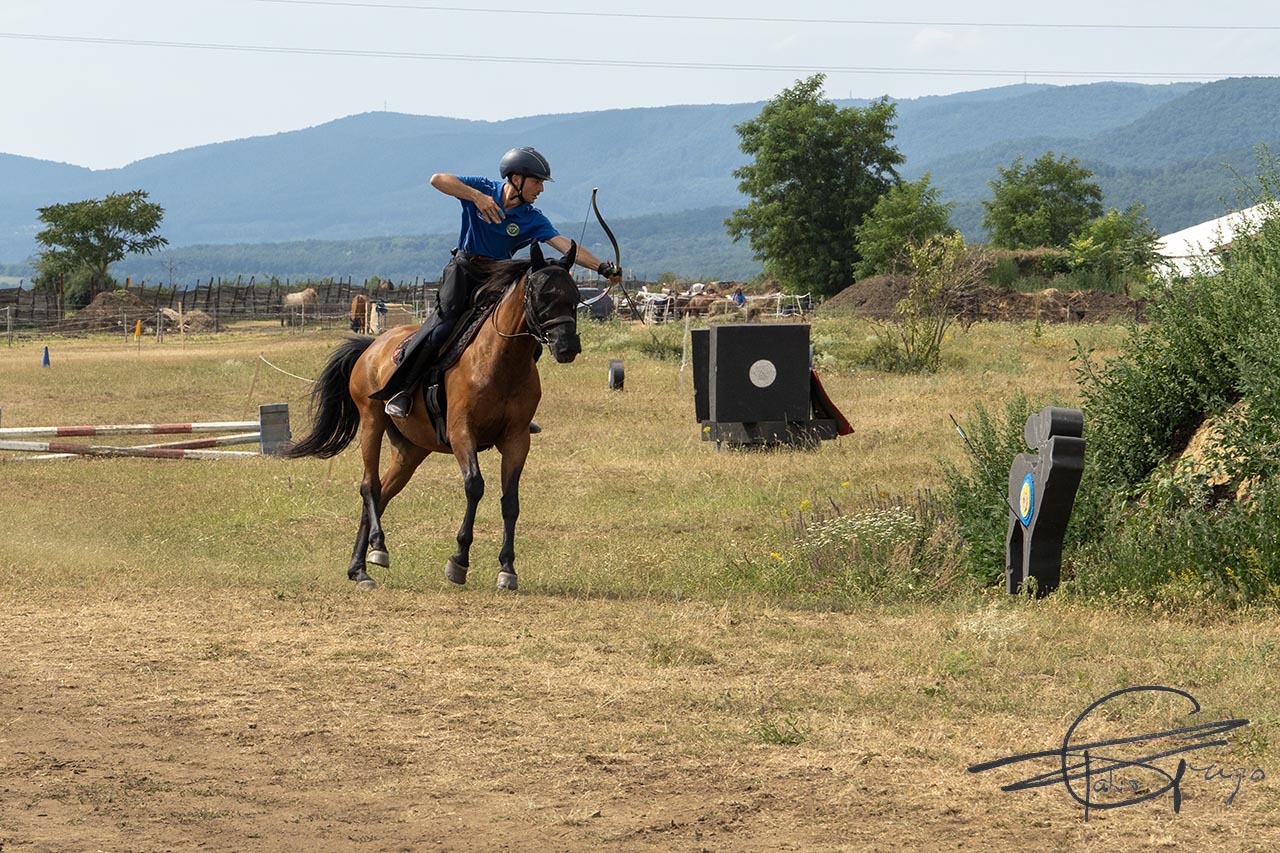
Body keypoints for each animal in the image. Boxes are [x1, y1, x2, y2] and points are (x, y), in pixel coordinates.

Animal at [282, 240, 583, 591]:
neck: (500, 360)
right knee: (370, 486)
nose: (567, 346)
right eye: (542, 295)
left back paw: (359, 568)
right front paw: (459, 561)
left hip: (412, 449)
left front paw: (507, 568)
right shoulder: (462, 432)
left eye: (575, 295)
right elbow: (474, 486)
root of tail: (372, 346)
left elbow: (510, 500)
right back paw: (377, 548)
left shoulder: (517, 438)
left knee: (383, 493)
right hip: (372, 421)